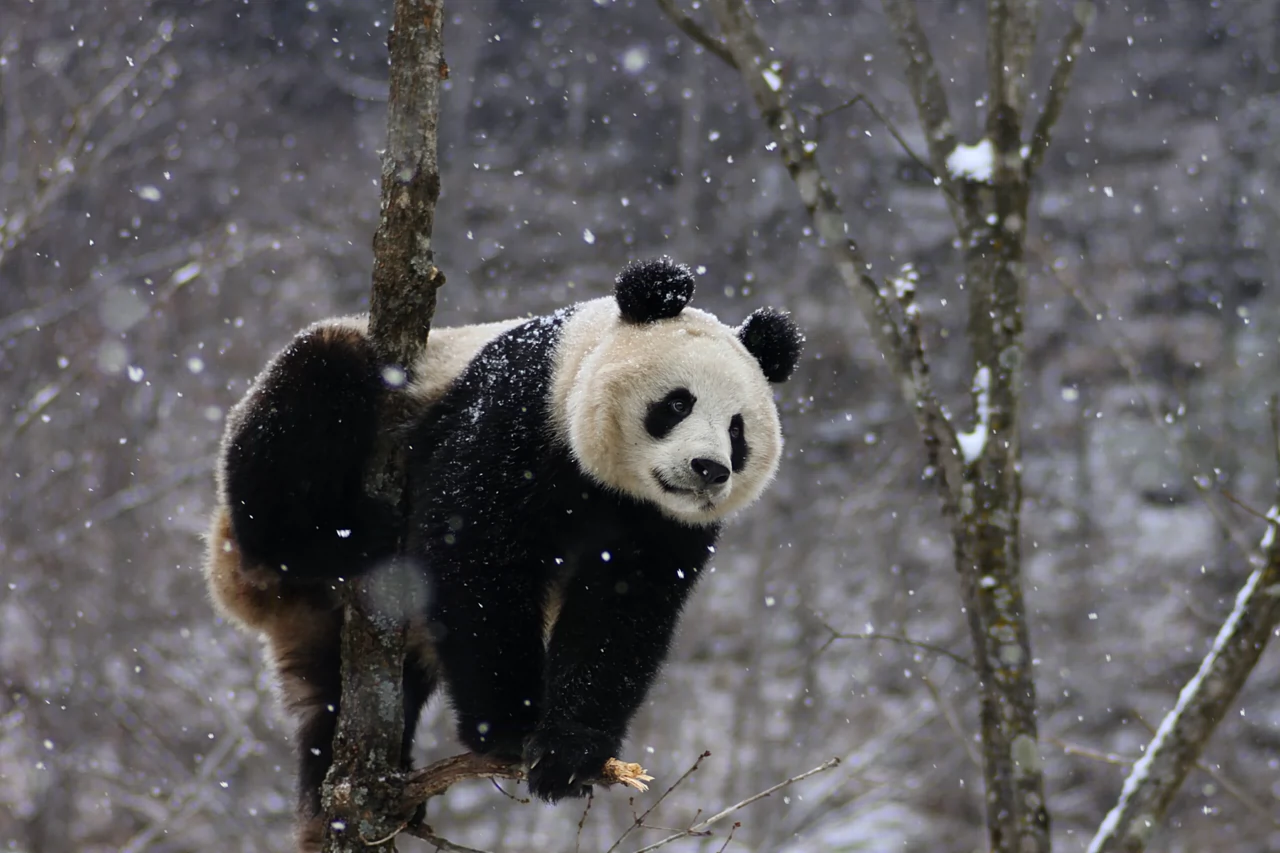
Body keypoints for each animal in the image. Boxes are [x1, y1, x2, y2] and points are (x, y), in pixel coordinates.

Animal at [202, 256, 798, 845]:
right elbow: (478, 561)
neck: (609, 483)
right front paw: (509, 728)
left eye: (738, 430)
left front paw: (569, 754)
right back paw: (340, 536)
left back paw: (353, 792)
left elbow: (622, 613)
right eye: (677, 403)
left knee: (348, 691)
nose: (709, 469)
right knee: (317, 377)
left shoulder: (664, 524)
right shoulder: (512, 418)